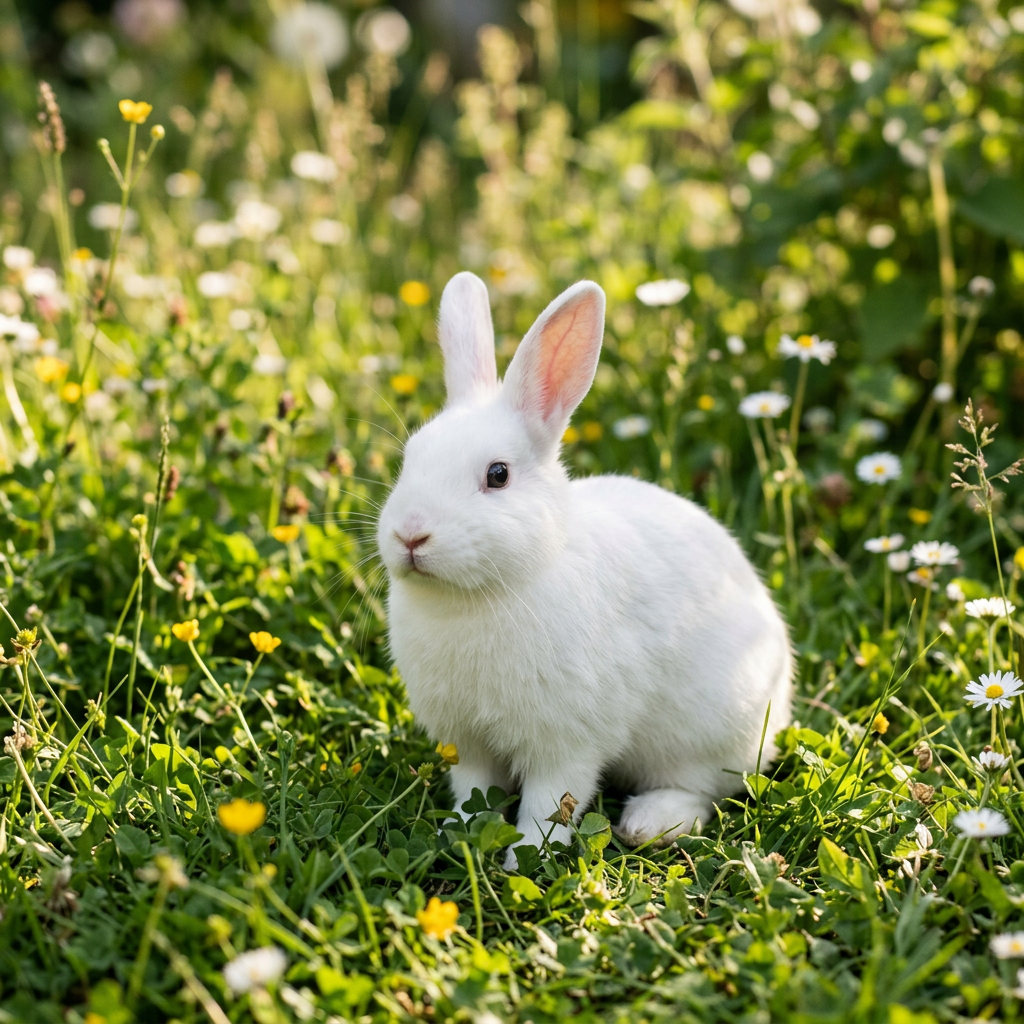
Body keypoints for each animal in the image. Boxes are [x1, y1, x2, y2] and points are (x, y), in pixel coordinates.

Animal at [376, 271, 793, 870]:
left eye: (497, 475)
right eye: (409, 458)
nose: (410, 535)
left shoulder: (566, 744)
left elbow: (549, 805)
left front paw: (525, 860)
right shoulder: (469, 745)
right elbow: (473, 792)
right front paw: (456, 835)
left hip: (710, 731)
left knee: (706, 789)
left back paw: (648, 823)